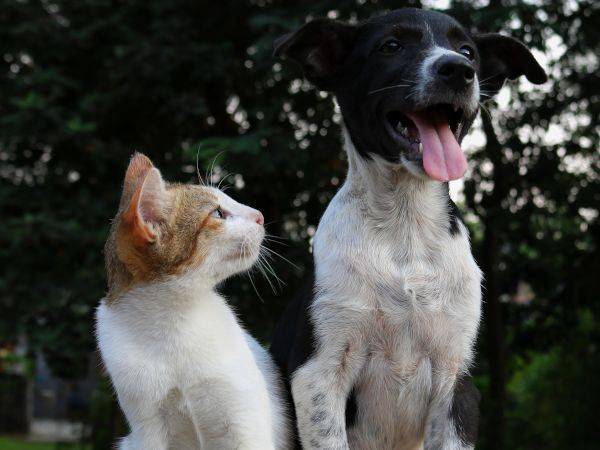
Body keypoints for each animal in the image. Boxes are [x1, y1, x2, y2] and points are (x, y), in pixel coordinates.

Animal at [272, 7, 548, 450]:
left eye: (468, 51)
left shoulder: (457, 380)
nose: (458, 71)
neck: (406, 229)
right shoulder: (319, 375)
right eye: (391, 45)